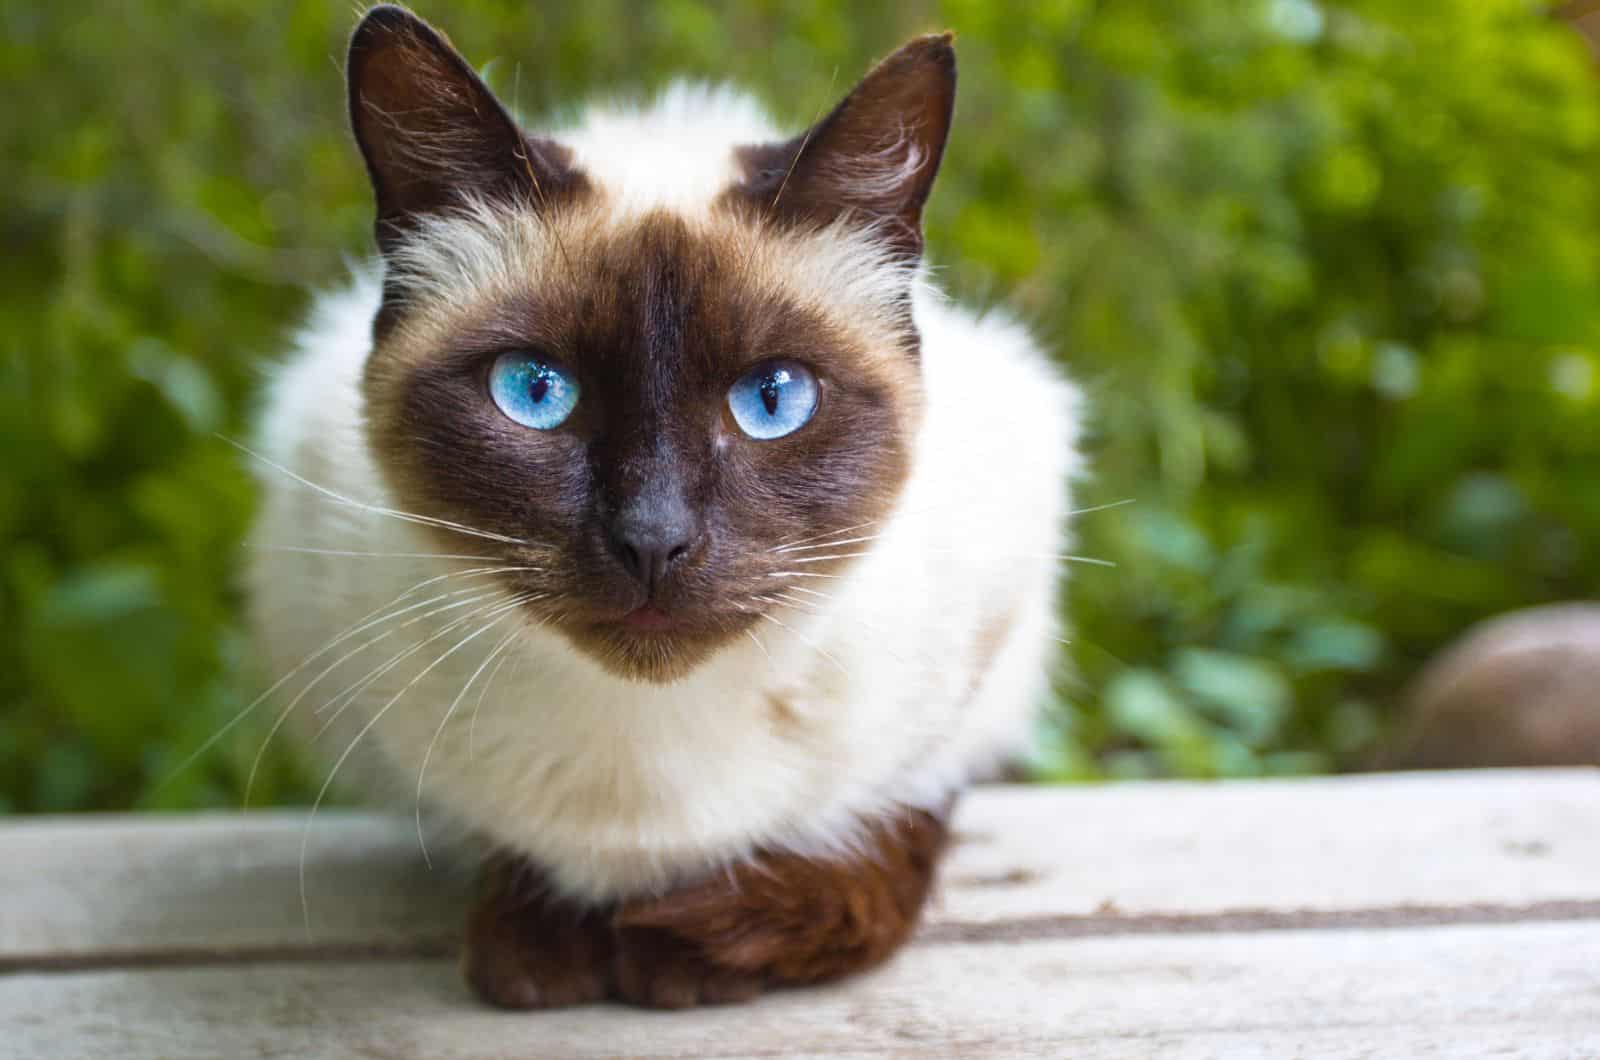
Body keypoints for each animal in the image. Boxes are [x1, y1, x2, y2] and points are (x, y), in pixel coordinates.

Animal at [249, 2, 1081, 1011]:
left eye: (773, 400)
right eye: (534, 391)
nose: (653, 541)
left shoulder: (986, 638)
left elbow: (892, 820)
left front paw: (688, 948)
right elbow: (514, 851)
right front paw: (545, 946)